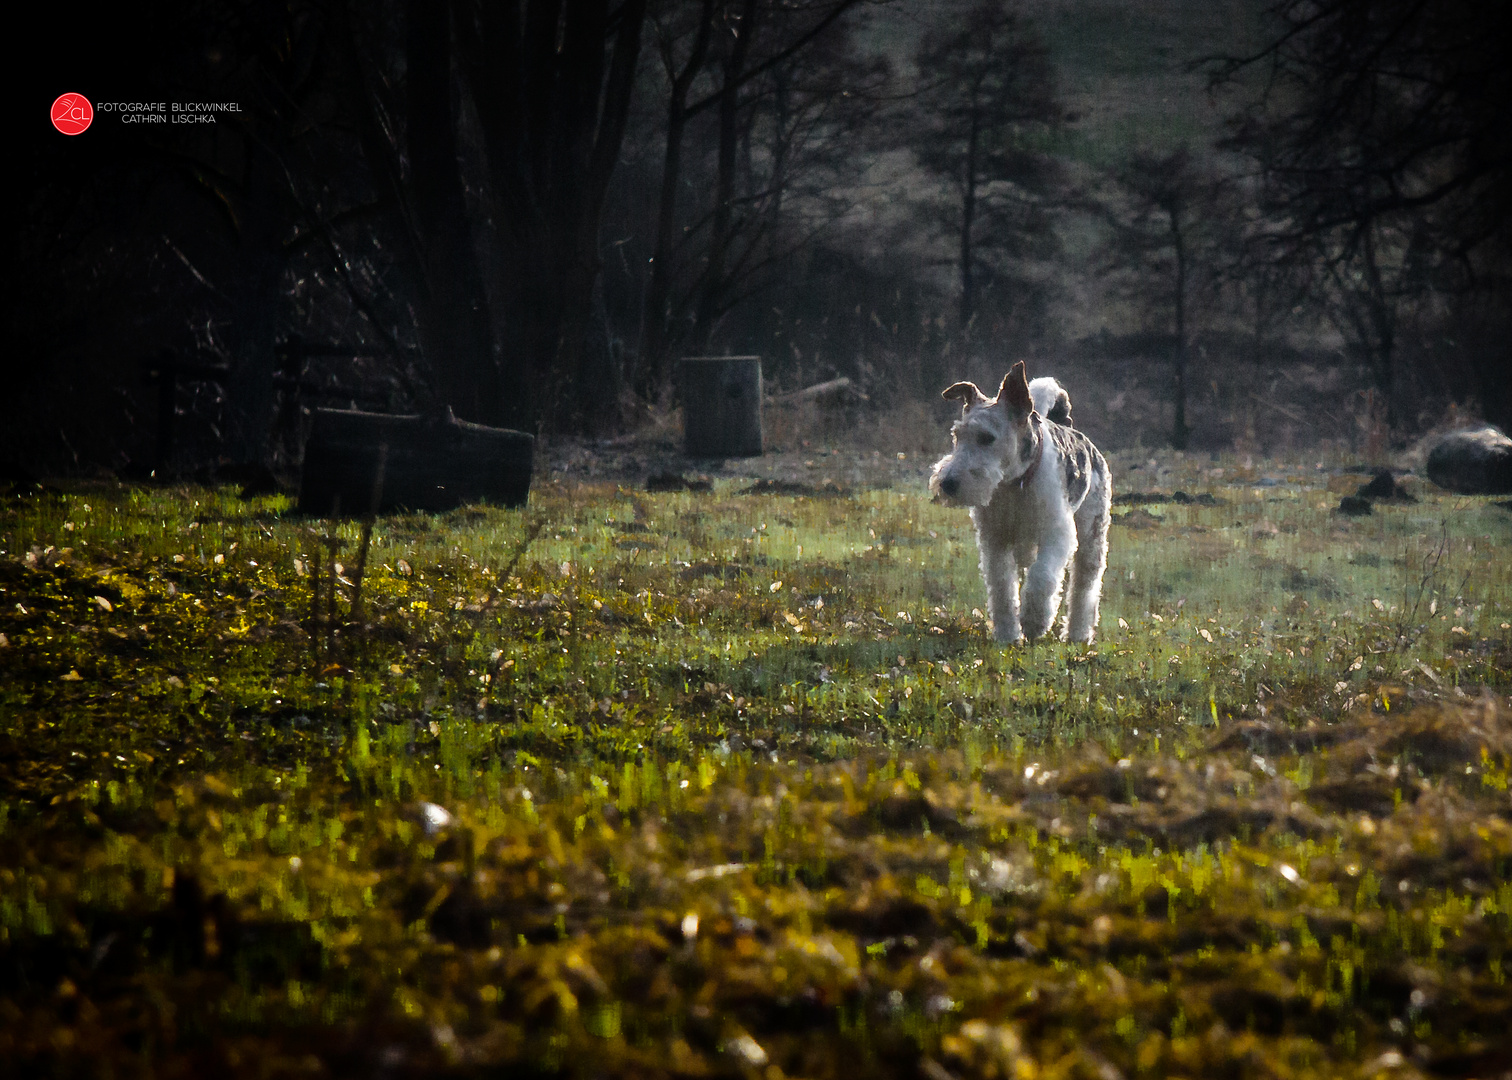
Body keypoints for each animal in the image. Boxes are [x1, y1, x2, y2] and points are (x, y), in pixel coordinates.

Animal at [925, 361, 1106, 638]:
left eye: (987, 437)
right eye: (957, 435)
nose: (948, 483)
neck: (1014, 484)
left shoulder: (1057, 533)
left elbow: (1042, 578)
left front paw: (1034, 621)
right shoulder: (995, 540)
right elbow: (1002, 590)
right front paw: (1008, 636)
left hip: (1091, 536)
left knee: (1084, 589)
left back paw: (1077, 635)